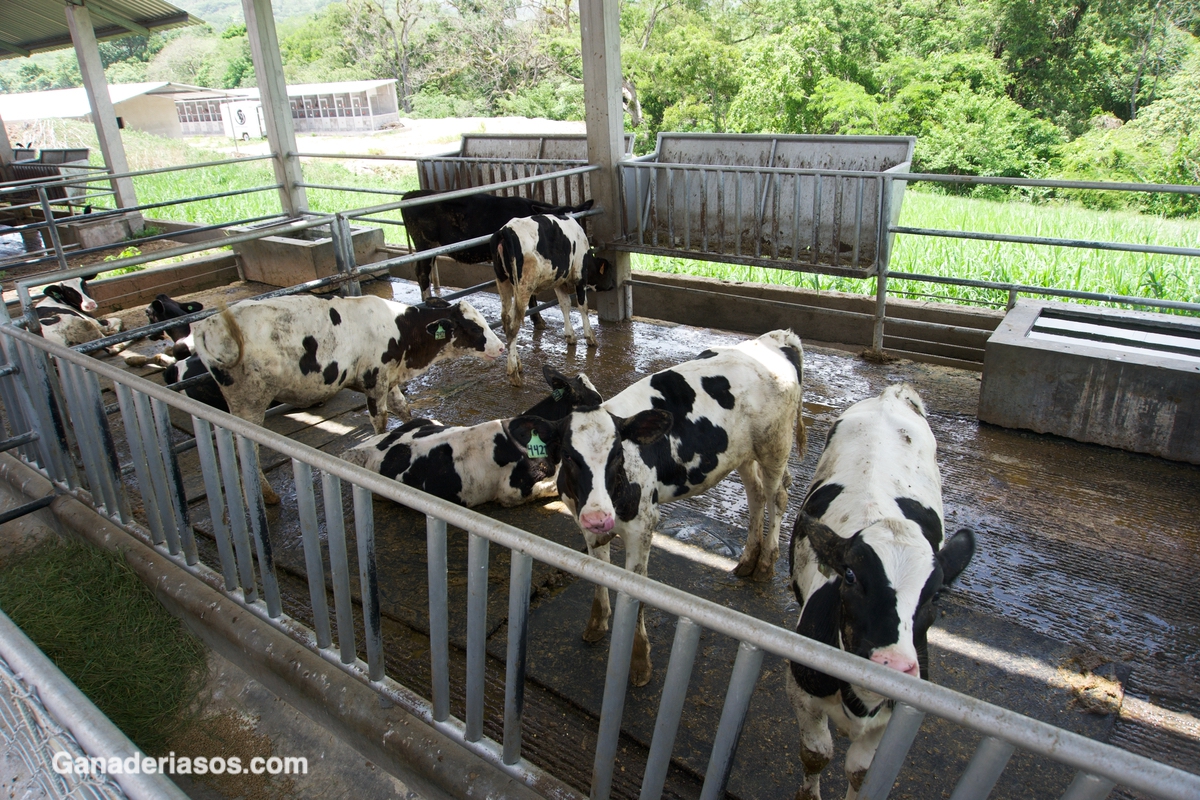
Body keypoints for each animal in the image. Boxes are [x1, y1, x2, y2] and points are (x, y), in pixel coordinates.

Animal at [489, 212, 614, 388]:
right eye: (610, 272)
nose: (614, 284)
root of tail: (505, 230)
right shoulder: (579, 277)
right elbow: (583, 307)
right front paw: (590, 337)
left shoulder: (559, 281)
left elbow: (565, 305)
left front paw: (570, 336)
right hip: (524, 286)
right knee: (514, 324)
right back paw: (514, 373)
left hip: (503, 281)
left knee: (506, 319)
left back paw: (516, 363)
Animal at [508, 328, 806, 686]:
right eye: (568, 455)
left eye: (618, 455)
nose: (599, 516)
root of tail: (777, 338)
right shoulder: (585, 523)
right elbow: (599, 575)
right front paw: (596, 625)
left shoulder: (643, 526)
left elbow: (636, 594)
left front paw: (639, 663)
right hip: (741, 453)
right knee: (756, 495)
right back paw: (748, 559)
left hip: (775, 446)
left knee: (778, 496)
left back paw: (765, 563)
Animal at [787, 383, 974, 796]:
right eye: (851, 576)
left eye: (936, 595)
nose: (891, 666)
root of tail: (893, 394)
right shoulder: (803, 693)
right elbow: (816, 754)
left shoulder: (890, 720)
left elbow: (862, 774)